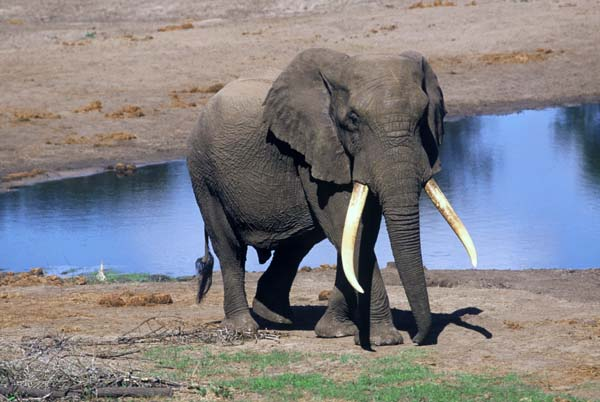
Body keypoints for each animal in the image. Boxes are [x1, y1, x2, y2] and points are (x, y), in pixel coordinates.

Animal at [185, 48, 476, 346]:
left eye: (422, 117)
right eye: (354, 119)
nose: (417, 338)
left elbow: (361, 230)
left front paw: (338, 332)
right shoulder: (314, 149)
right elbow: (348, 230)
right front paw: (384, 340)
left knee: (297, 244)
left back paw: (276, 317)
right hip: (203, 174)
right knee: (229, 247)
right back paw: (244, 329)